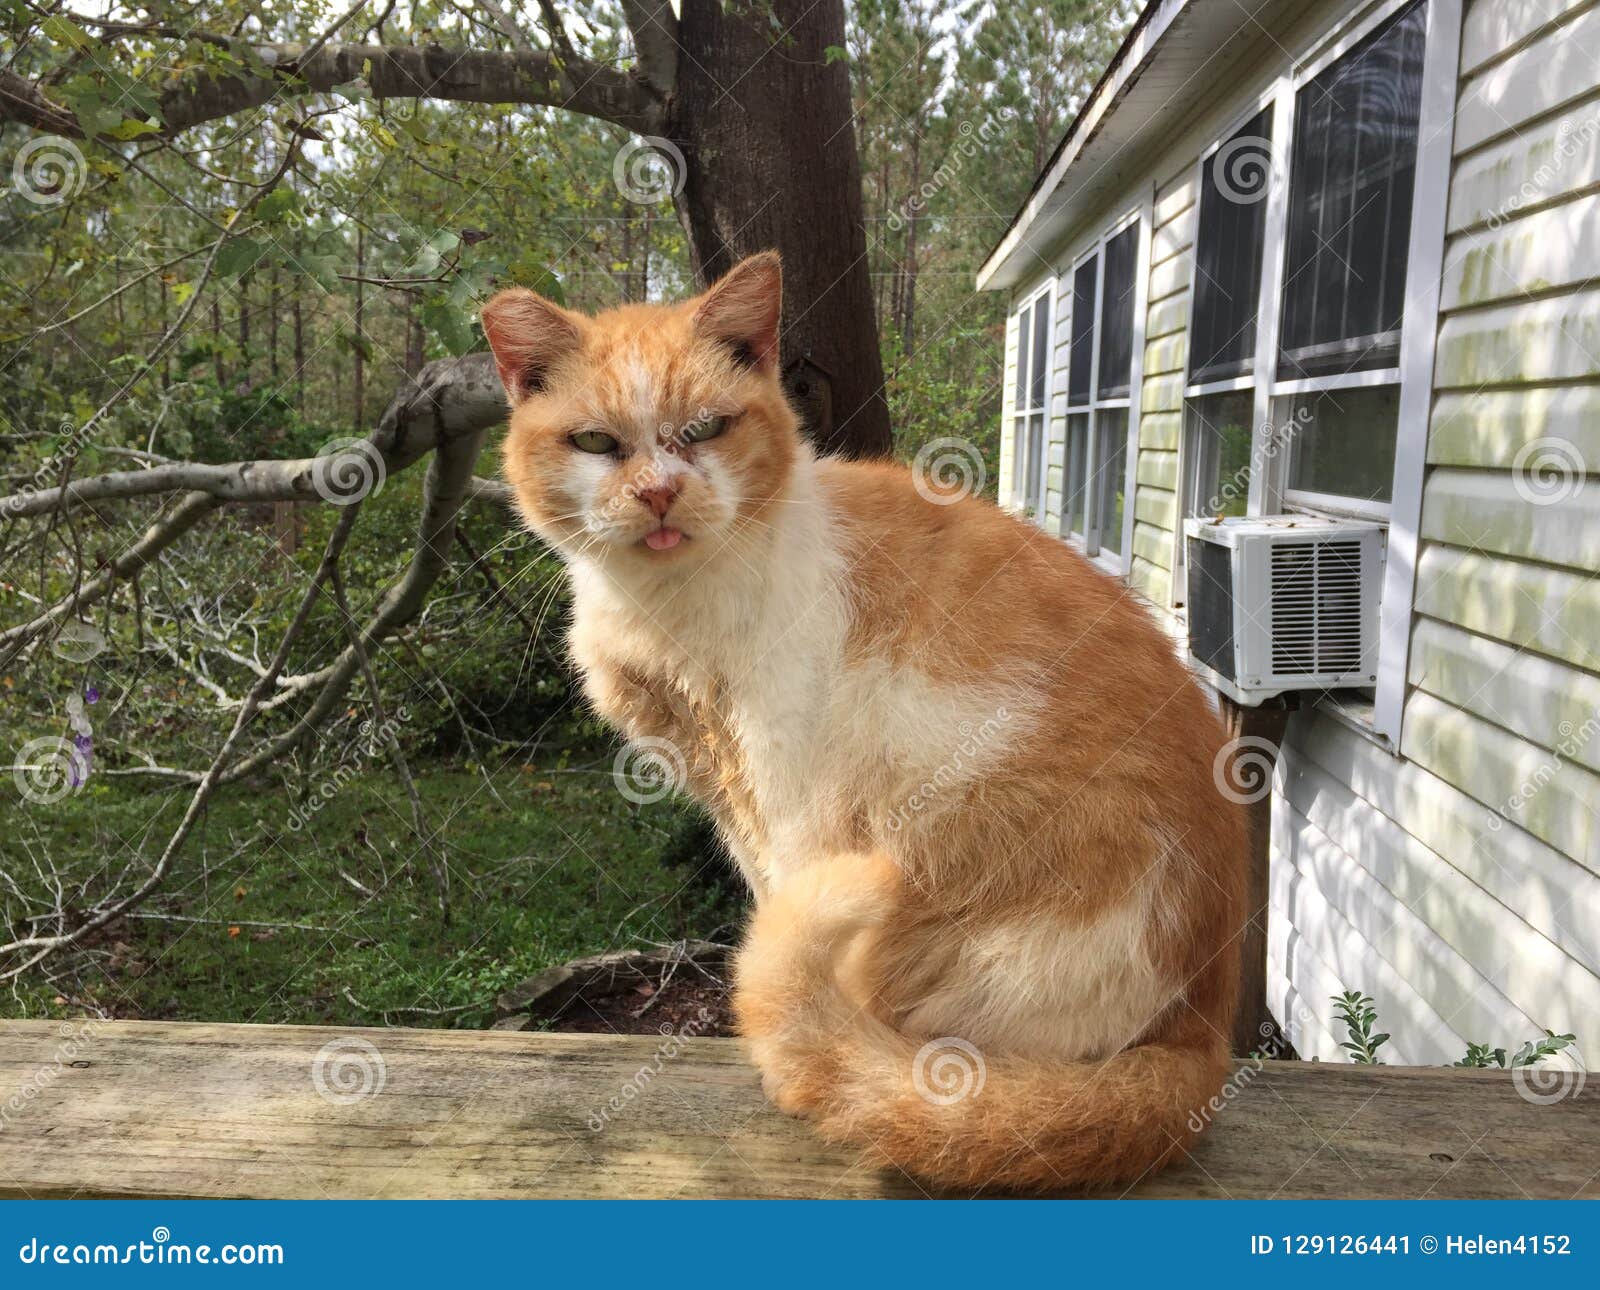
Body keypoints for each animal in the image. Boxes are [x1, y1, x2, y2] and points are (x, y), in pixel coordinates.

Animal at [480, 249, 1241, 1190]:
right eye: (596, 443)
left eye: (705, 431)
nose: (658, 493)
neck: (669, 611)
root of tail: (1206, 1028)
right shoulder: (731, 800)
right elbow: (766, 896)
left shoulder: (790, 799)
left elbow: (783, 920)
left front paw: (795, 1053)